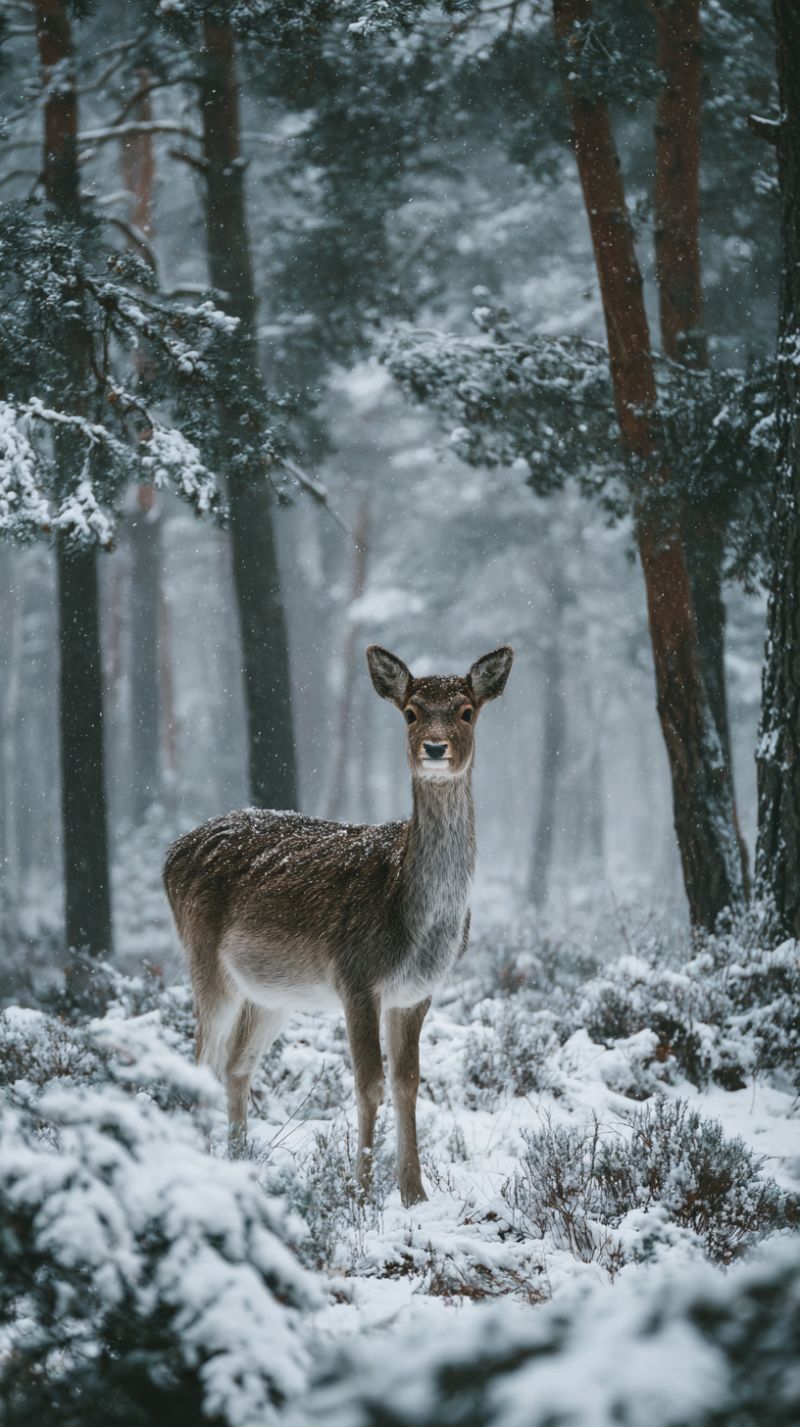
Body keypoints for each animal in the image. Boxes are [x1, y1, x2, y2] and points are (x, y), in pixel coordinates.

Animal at [163, 643, 513, 1206]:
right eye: (410, 712)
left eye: (466, 711)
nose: (435, 748)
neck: (413, 920)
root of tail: (171, 854)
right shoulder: (356, 975)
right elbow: (369, 1083)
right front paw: (361, 1192)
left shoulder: (417, 991)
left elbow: (408, 1082)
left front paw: (415, 1194)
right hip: (204, 963)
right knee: (202, 1061)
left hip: (271, 992)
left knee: (238, 1065)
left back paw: (238, 1163)